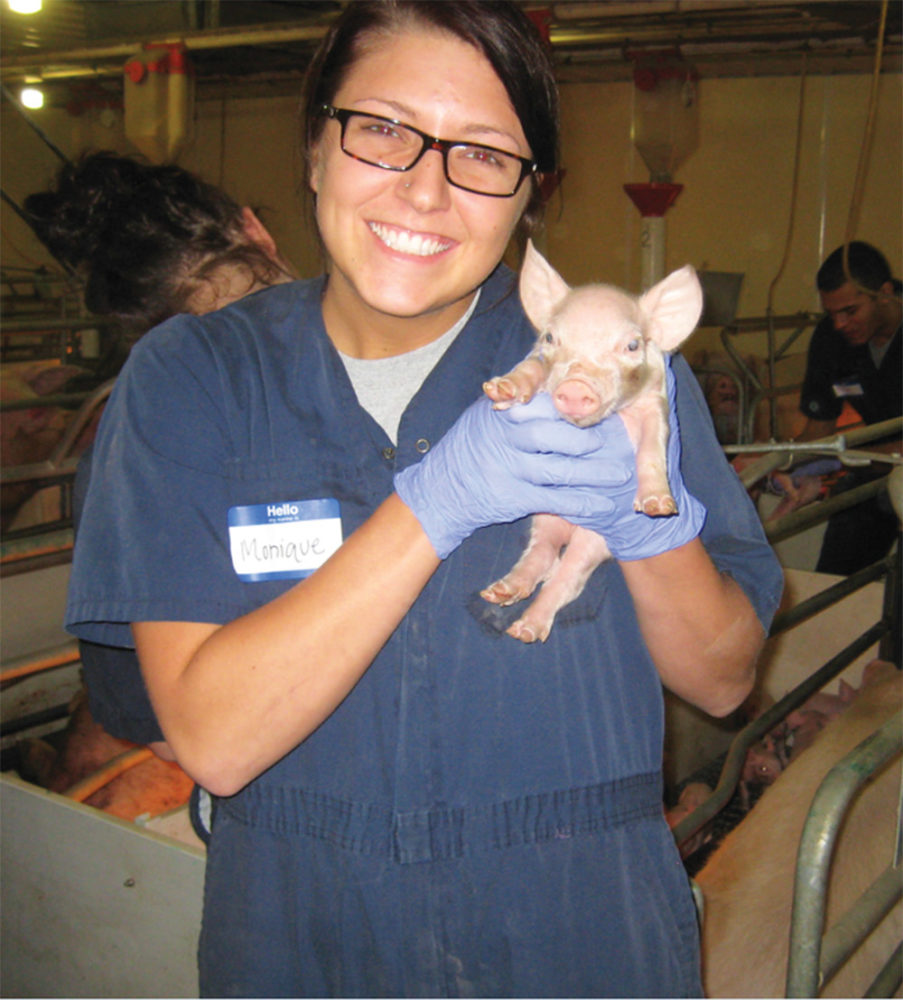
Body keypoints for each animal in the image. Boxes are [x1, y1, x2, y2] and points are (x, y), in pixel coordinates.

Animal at [480, 240, 703, 642]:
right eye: (551, 337)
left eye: (632, 345)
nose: (574, 386)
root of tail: (571, 527)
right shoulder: (538, 359)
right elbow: (531, 368)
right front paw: (501, 392)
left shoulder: (657, 404)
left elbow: (652, 448)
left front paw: (658, 507)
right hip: (546, 518)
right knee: (541, 557)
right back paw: (500, 595)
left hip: (594, 543)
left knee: (564, 580)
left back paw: (525, 630)